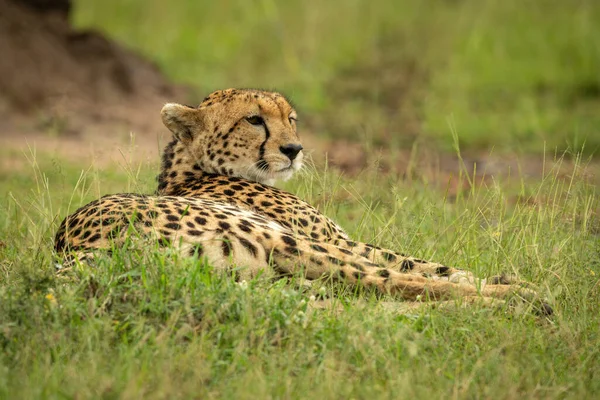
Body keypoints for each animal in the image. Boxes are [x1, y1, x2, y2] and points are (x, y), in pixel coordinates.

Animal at [54, 89, 552, 314]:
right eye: (254, 120)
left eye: (290, 118)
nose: (294, 149)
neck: (197, 170)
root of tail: (76, 257)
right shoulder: (333, 240)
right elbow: (411, 262)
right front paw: (494, 280)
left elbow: (419, 261)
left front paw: (487, 273)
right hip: (287, 244)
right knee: (390, 283)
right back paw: (519, 297)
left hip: (277, 276)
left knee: (370, 293)